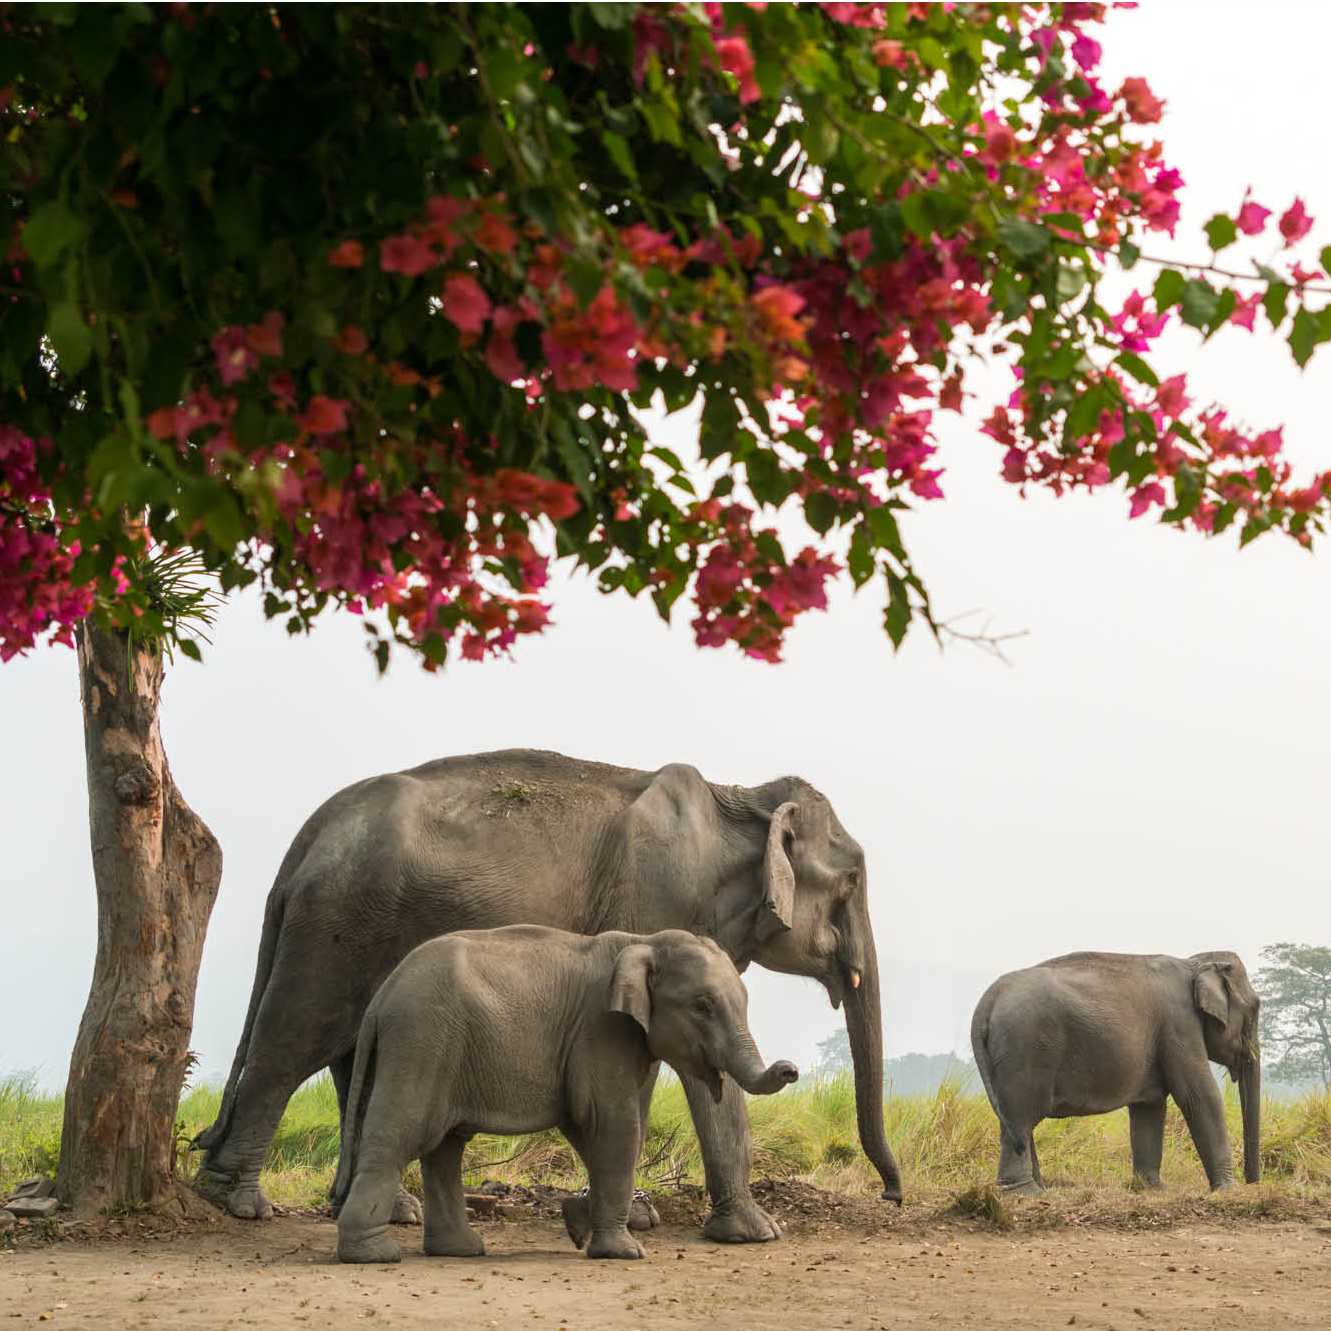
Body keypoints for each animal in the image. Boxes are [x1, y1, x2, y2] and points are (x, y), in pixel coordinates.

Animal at [333, 926, 799, 1263]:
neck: (644, 941)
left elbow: (597, 1127)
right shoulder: (601, 1031)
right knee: (403, 1134)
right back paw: (373, 1256)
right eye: (702, 1006)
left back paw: (460, 1250)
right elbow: (613, 1123)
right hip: (423, 1041)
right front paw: (624, 1253)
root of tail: (380, 999)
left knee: (445, 1147)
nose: (791, 1069)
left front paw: (578, 1226)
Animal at [971, 950, 1261, 1194]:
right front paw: (1227, 1191)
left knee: (1014, 1120)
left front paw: (1151, 1189)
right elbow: (1199, 1096)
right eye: (1255, 1008)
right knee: (1021, 1118)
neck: (1193, 962)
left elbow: (1149, 1106)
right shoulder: (1180, 1024)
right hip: (1024, 1049)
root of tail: (987, 1001)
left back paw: (1039, 1189)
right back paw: (1026, 1193)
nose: (1252, 1181)